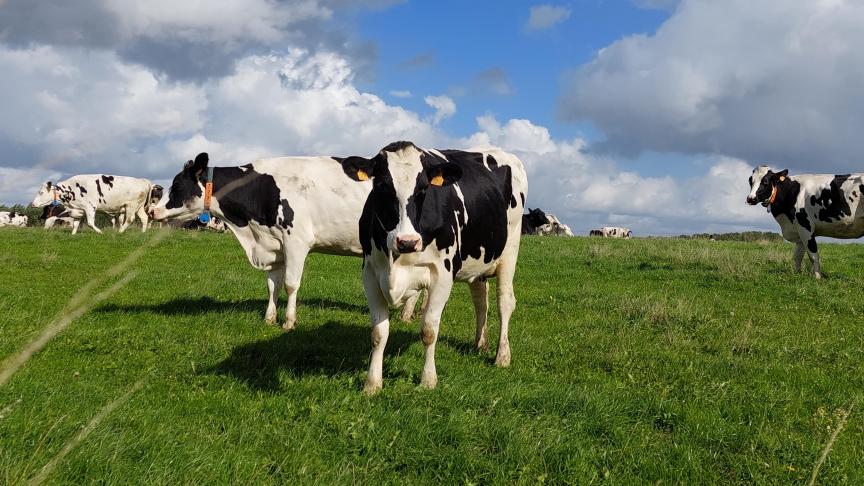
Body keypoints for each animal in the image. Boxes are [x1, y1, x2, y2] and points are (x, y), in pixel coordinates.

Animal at [152, 151, 422, 330]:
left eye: (176, 185)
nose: (153, 211)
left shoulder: (296, 242)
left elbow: (291, 285)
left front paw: (289, 322)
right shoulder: (274, 246)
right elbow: (273, 285)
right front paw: (269, 318)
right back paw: (407, 315)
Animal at [338, 140, 528, 394]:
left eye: (423, 189)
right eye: (381, 185)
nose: (407, 241)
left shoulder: (442, 275)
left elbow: (428, 330)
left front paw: (428, 380)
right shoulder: (370, 273)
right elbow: (378, 333)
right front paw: (372, 384)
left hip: (510, 250)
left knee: (504, 302)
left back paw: (502, 356)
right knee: (481, 301)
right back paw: (480, 344)